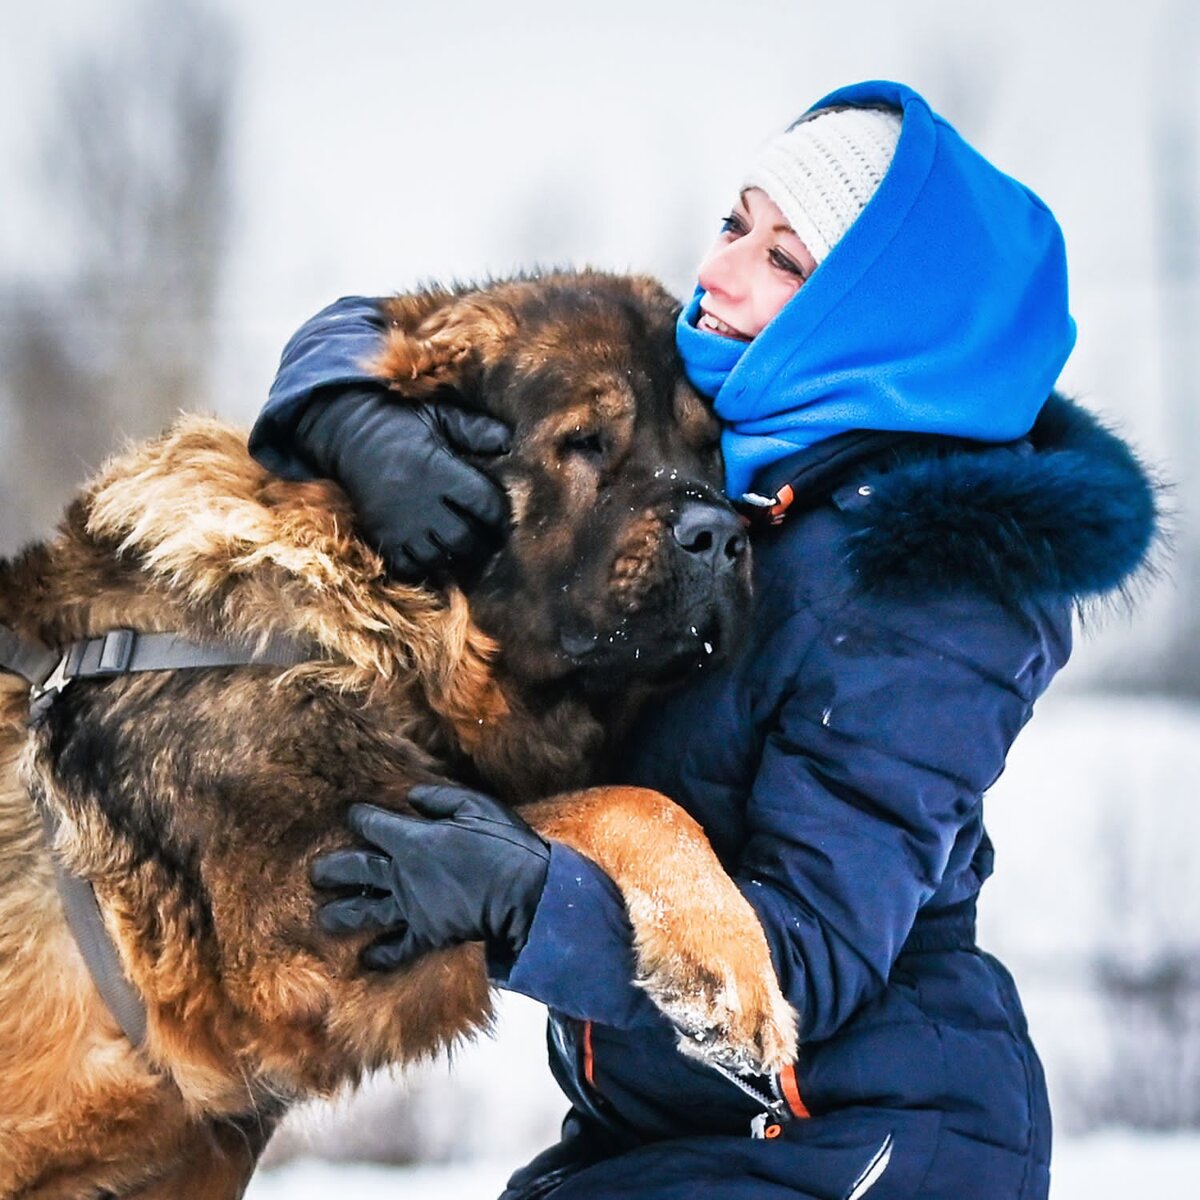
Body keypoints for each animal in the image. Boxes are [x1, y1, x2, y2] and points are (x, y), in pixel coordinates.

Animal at [0, 274, 796, 1200]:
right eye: (585, 443)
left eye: (711, 453)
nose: (722, 538)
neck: (376, 621)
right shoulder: (298, 905)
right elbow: (618, 803)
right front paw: (730, 966)